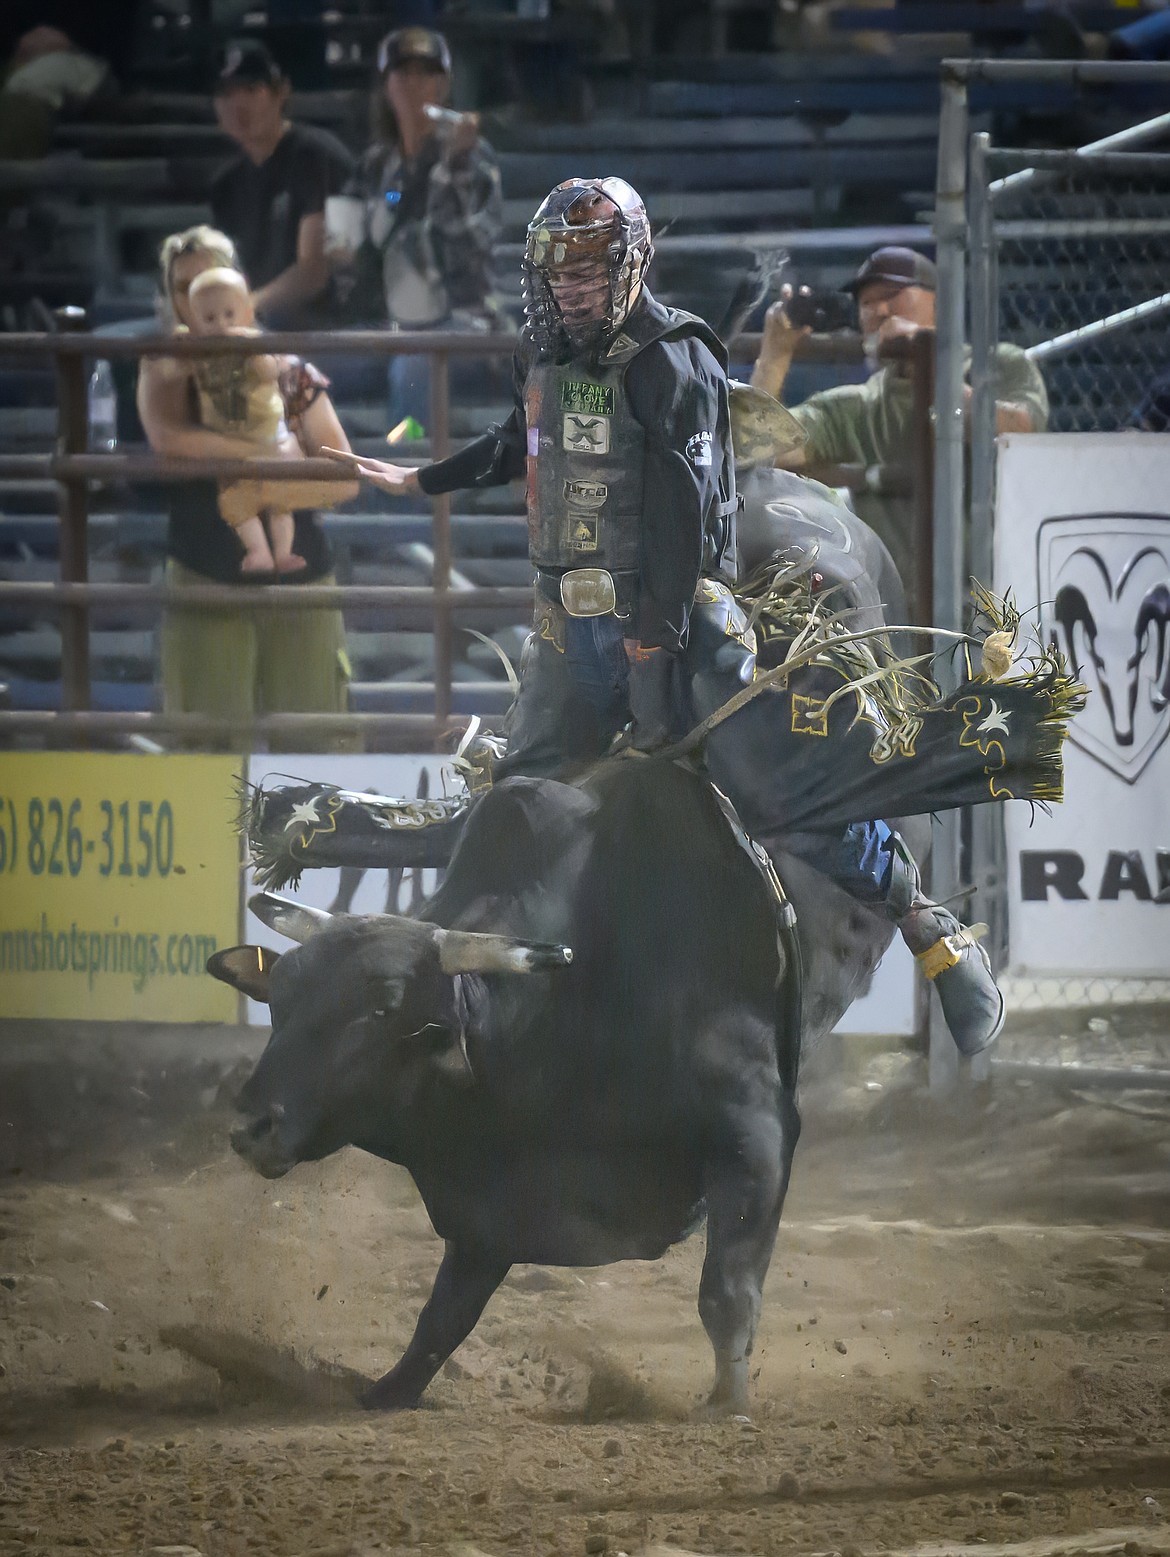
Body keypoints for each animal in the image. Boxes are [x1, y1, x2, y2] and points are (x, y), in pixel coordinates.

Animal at [214, 759, 922, 1419]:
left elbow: (727, 1291)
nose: (249, 1125)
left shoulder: (758, 1133)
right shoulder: (486, 1202)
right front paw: (386, 1393)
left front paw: (728, 1403)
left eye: (382, 1009)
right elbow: (444, 1316)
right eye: (279, 997)